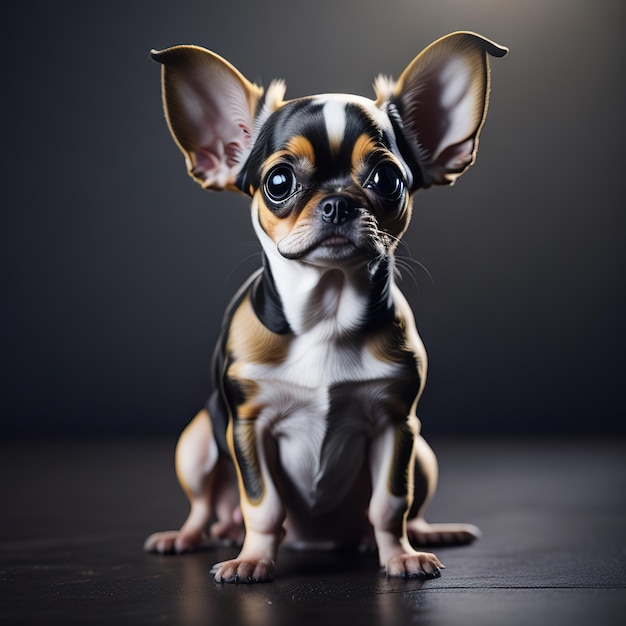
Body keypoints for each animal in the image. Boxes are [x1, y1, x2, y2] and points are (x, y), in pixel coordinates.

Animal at [146, 33, 508, 580]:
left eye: (388, 180)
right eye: (278, 182)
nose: (338, 202)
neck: (325, 318)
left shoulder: (396, 424)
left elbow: (390, 503)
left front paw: (399, 556)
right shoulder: (249, 425)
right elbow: (263, 505)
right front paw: (253, 559)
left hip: (423, 452)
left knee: (408, 508)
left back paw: (427, 533)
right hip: (198, 443)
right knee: (207, 508)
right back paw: (191, 537)